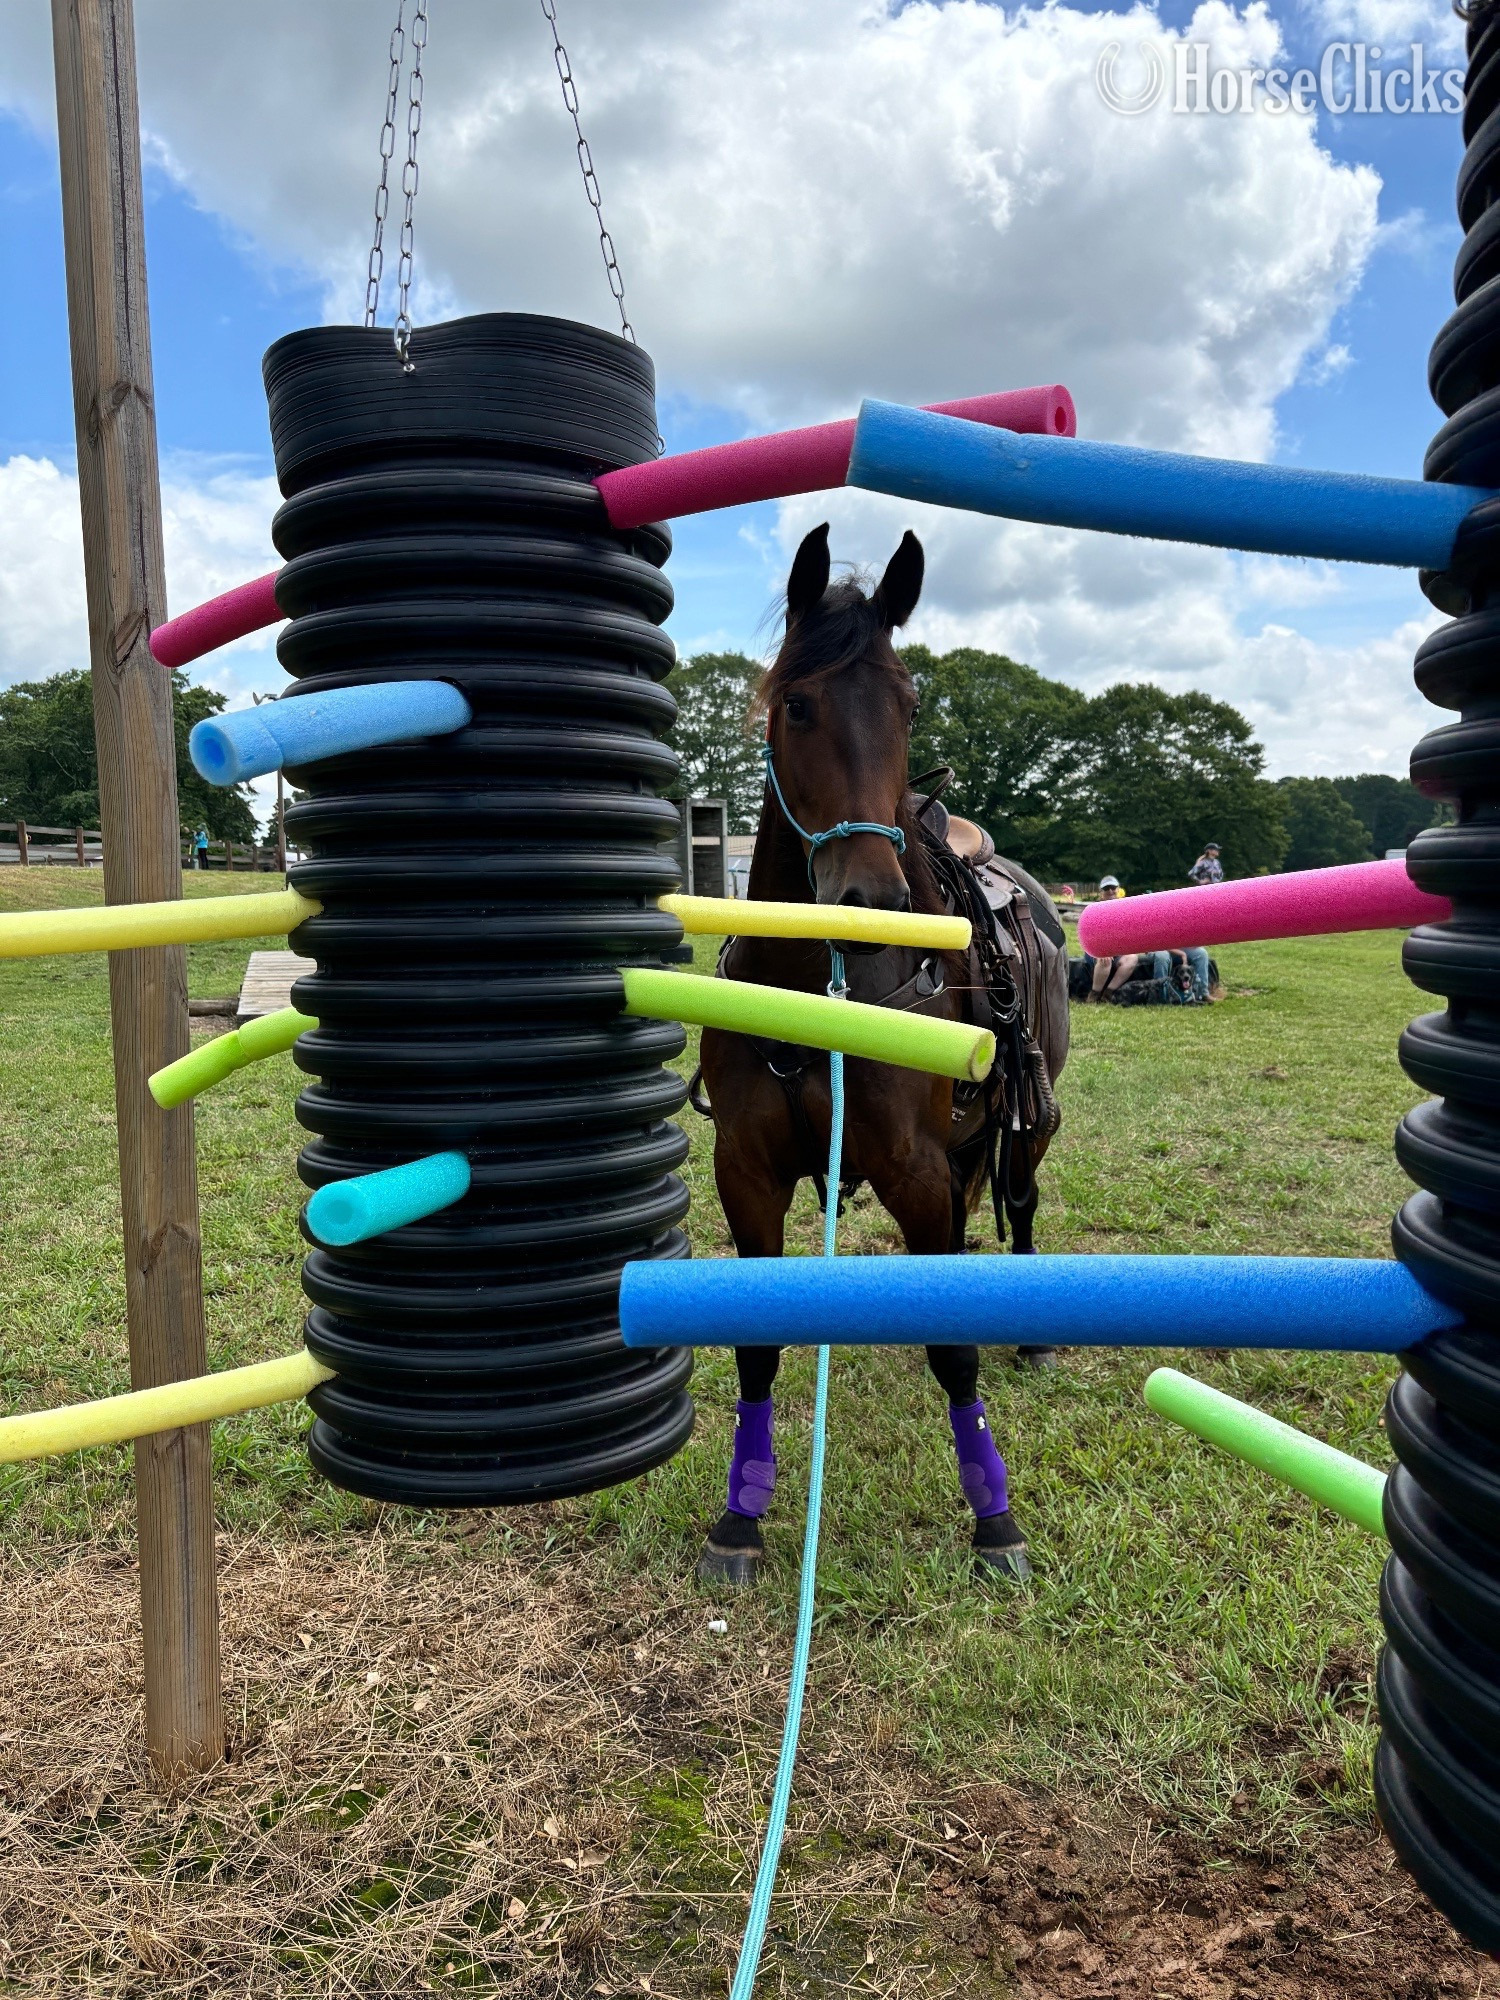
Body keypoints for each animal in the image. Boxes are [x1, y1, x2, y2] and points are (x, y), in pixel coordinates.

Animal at [693, 522, 1070, 1587]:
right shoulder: (747, 1171)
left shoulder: (912, 1168)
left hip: (1027, 1125)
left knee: (1020, 1202)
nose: (869, 899)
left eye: (907, 706)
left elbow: (953, 1351)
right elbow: (757, 1351)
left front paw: (995, 1522)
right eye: (798, 705)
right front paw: (741, 1518)